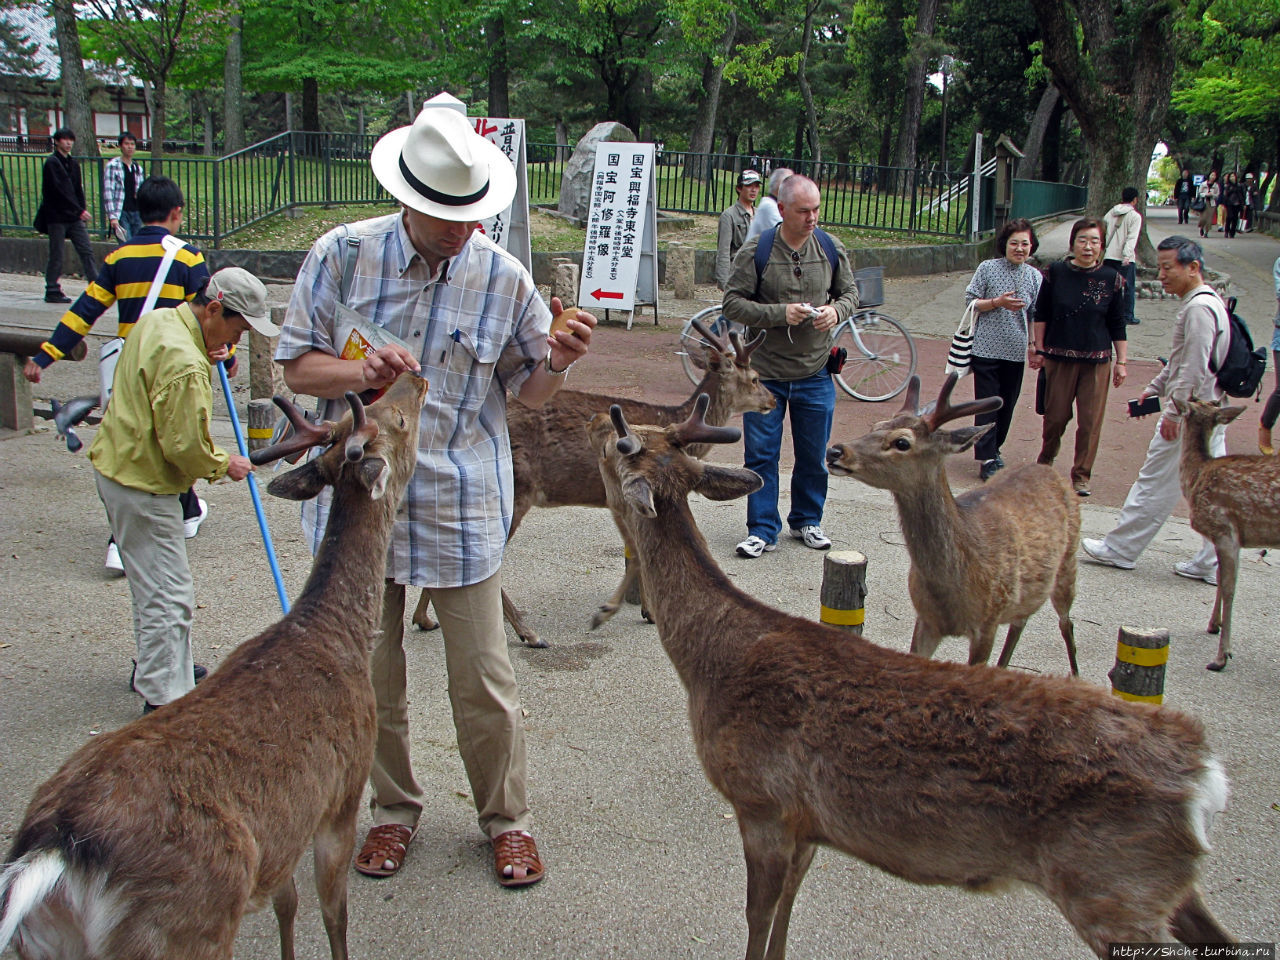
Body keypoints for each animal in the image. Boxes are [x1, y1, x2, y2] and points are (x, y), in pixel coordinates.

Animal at [0, 373, 430, 960]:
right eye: (399, 419)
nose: (415, 377)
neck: (334, 635)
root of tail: (56, 851)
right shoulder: (341, 795)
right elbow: (332, 912)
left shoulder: (281, 833)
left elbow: (286, 904)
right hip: (187, 924)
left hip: (49, 945)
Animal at [412, 316, 768, 647]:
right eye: (755, 378)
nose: (773, 401)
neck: (673, 423)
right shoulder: (617, 495)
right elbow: (636, 554)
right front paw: (636, 611)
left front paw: (643, 609)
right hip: (514, 489)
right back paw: (529, 633)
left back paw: (425, 619)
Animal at [819, 376, 1080, 675]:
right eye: (875, 425)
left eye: (902, 442)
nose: (835, 450)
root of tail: (1048, 470)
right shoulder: (926, 620)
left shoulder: (987, 623)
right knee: (1021, 621)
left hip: (1068, 565)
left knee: (1066, 622)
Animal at [1172, 394, 1280, 670]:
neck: (1196, 476)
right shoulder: (1232, 538)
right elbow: (1220, 577)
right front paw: (1214, 625)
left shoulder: (1224, 530)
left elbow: (1230, 587)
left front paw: (1222, 656)